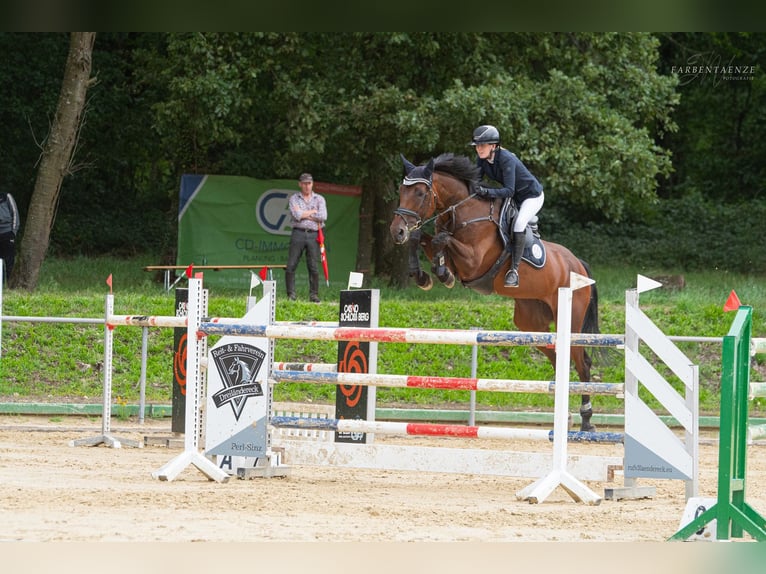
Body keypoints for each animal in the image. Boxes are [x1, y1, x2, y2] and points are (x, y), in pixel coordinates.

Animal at [392, 153, 604, 432]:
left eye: (419, 192)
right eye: (400, 191)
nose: (396, 231)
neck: (462, 212)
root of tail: (578, 264)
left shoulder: (473, 262)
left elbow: (442, 240)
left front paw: (442, 273)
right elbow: (422, 237)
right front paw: (425, 276)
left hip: (570, 318)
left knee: (582, 361)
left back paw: (587, 420)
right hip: (530, 322)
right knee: (560, 357)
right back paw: (566, 417)